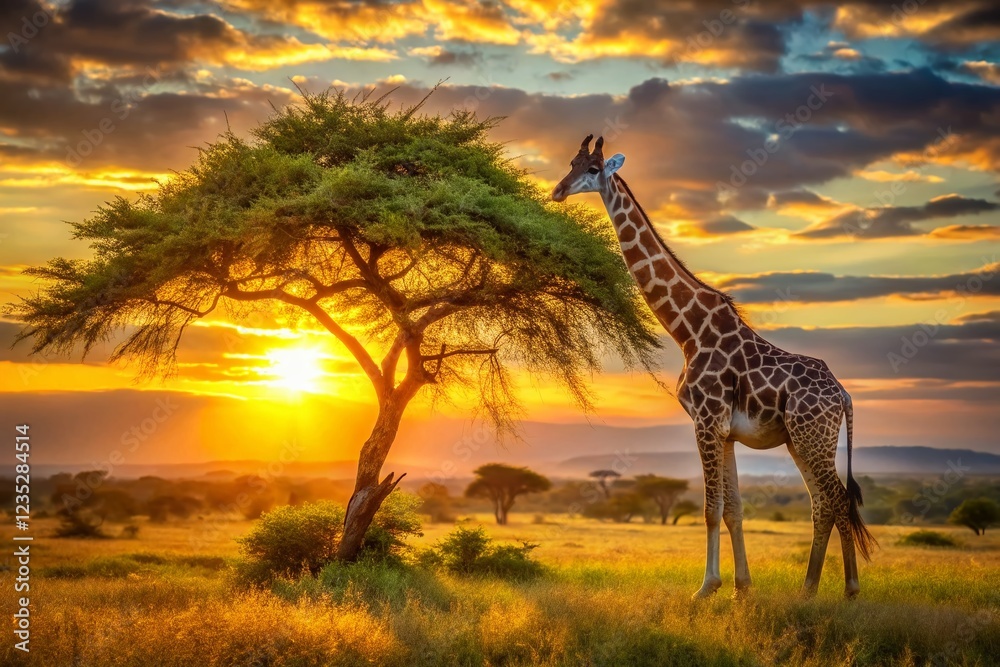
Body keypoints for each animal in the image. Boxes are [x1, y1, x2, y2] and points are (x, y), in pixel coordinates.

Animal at [552, 135, 877, 599]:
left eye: (594, 169)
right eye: (571, 162)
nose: (558, 190)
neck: (688, 331)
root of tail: (844, 396)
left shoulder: (705, 421)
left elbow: (710, 508)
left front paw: (706, 588)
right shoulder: (725, 431)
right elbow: (733, 509)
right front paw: (742, 588)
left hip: (812, 437)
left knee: (835, 499)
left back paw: (844, 589)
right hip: (802, 440)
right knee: (824, 502)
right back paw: (812, 589)